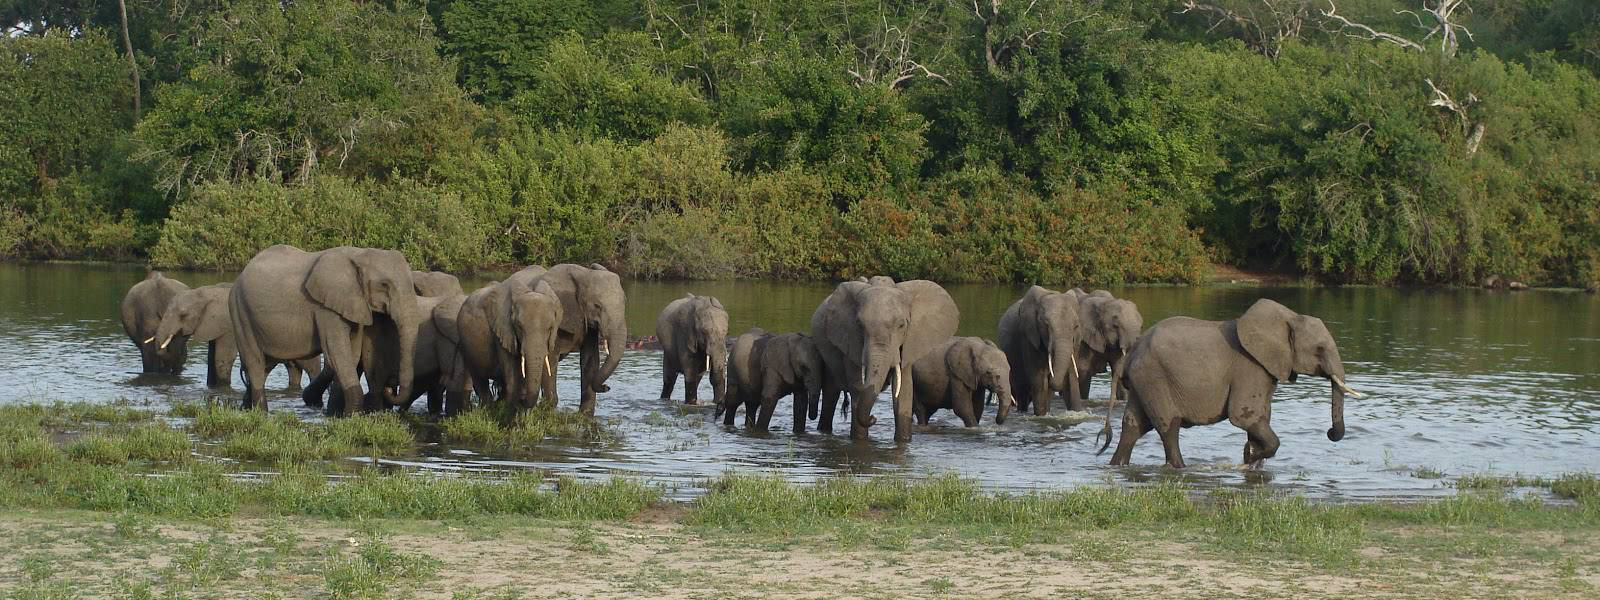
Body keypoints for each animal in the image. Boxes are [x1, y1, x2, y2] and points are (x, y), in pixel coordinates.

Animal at [151, 284, 320, 392]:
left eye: (183, 315)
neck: (205, 292)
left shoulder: (228, 327)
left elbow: (222, 359)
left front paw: (224, 388)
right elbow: (211, 359)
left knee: (311, 368)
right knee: (294, 369)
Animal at [232, 244, 422, 412]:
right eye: (384, 285)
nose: (390, 384)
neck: (359, 254)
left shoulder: (356, 304)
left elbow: (352, 354)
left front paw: (337, 415)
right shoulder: (326, 309)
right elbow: (337, 352)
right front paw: (351, 416)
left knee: (265, 365)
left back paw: (246, 409)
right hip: (240, 311)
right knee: (254, 361)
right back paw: (261, 413)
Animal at [806, 276, 953, 441]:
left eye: (902, 325)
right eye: (859, 325)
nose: (873, 418)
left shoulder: (909, 343)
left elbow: (903, 390)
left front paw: (903, 441)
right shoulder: (849, 338)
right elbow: (857, 387)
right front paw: (860, 440)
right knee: (831, 395)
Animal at [998, 288, 1088, 419]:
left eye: (1076, 326)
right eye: (1046, 325)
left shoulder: (1075, 343)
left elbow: (1071, 378)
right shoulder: (1028, 338)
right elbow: (1039, 380)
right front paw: (1041, 417)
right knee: (1022, 390)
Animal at [1113, 299, 1363, 470]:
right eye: (1319, 349)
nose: (1329, 433)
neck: (1290, 317)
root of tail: (1134, 350)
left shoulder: (1265, 371)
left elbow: (1261, 418)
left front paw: (1252, 458)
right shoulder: (1250, 368)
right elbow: (1244, 416)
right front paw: (1250, 457)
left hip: (1143, 380)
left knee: (1133, 425)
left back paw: (1116, 465)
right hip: (1155, 378)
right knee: (1169, 428)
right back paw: (1181, 468)